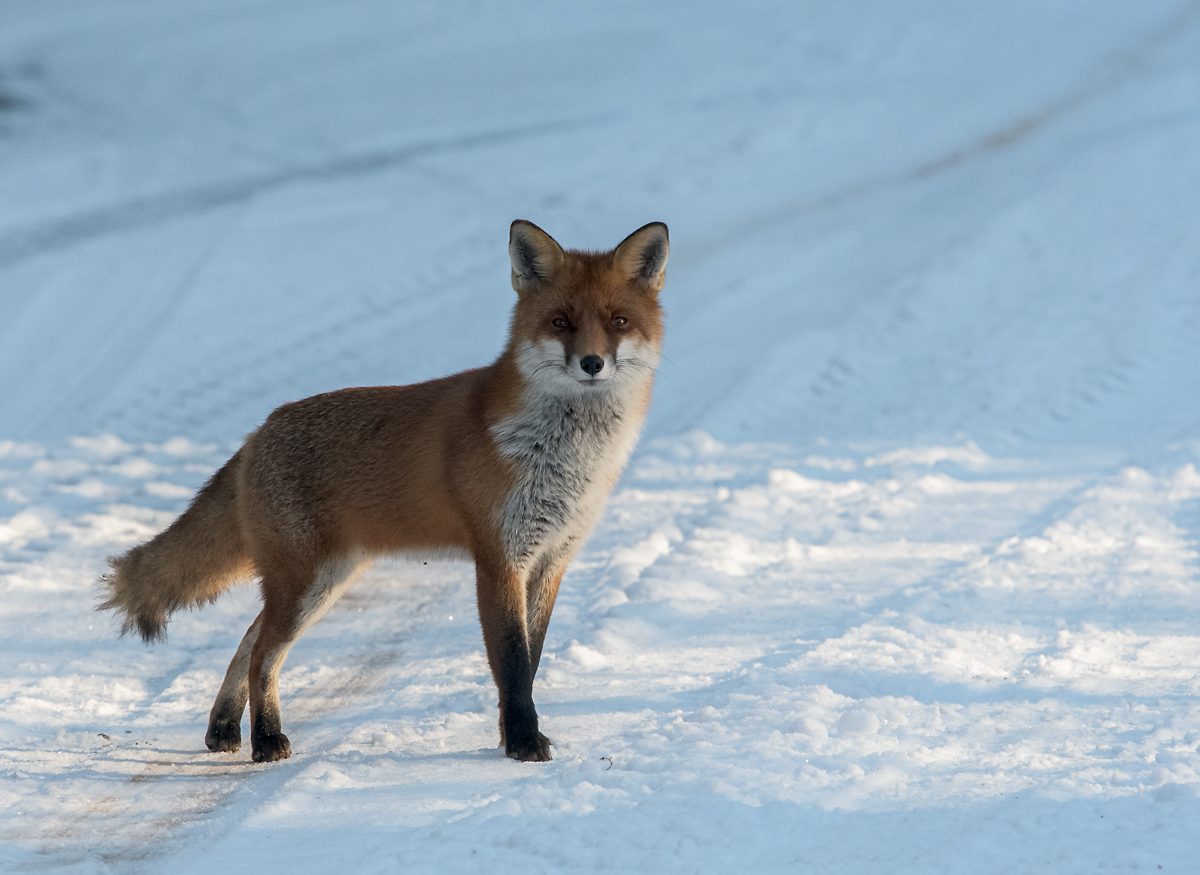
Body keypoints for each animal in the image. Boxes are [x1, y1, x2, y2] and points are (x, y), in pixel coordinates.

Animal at [97, 219, 667, 763]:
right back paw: (266, 739)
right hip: (308, 583)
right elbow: (511, 665)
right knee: (261, 653)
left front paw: (513, 737)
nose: (591, 363)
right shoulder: (499, 558)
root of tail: (258, 431)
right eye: (560, 322)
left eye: (618, 321)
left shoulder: (551, 561)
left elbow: (530, 662)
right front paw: (523, 744)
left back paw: (223, 729)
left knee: (248, 642)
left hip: (323, 580)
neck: (562, 457)